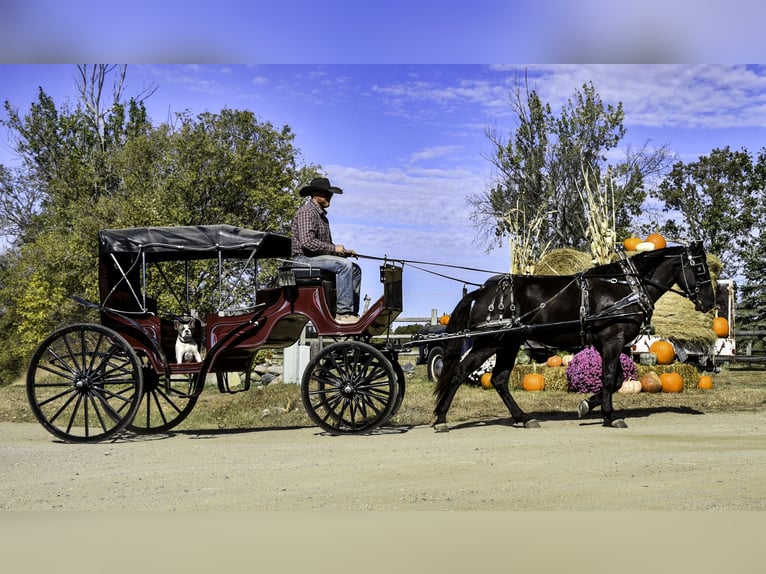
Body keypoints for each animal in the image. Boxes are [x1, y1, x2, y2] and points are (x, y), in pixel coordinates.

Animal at [438, 242, 720, 432]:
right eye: (700, 268)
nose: (709, 302)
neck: (626, 287)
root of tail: (482, 291)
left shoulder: (607, 343)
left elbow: (617, 379)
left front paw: (586, 405)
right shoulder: (612, 339)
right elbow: (609, 377)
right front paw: (610, 416)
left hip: (509, 343)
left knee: (499, 379)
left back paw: (524, 418)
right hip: (489, 343)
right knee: (460, 372)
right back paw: (441, 418)